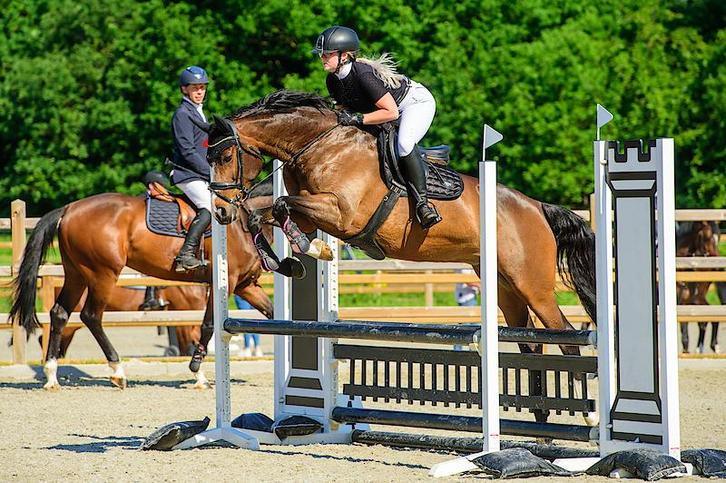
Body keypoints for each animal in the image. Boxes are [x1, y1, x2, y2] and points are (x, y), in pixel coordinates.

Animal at [9, 154, 273, 390]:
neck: (242, 223)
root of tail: (69, 208)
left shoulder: (245, 286)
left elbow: (272, 313)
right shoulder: (224, 283)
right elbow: (207, 326)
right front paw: (197, 372)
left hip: (77, 273)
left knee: (60, 313)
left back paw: (52, 376)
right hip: (102, 274)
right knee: (91, 316)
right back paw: (117, 371)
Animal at [202, 90, 597, 425]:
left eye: (226, 156)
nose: (220, 212)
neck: (319, 145)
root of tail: (536, 207)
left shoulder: (341, 214)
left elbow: (281, 205)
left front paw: (315, 249)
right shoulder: (312, 213)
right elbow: (265, 215)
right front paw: (288, 261)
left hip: (532, 284)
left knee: (565, 336)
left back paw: (587, 417)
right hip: (503, 285)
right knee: (530, 341)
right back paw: (540, 419)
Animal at [677, 221, 720, 354]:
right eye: (708, 237)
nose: (717, 268)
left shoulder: (685, 301)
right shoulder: (683, 301)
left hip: (697, 298)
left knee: (706, 320)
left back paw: (710, 347)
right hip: (697, 299)